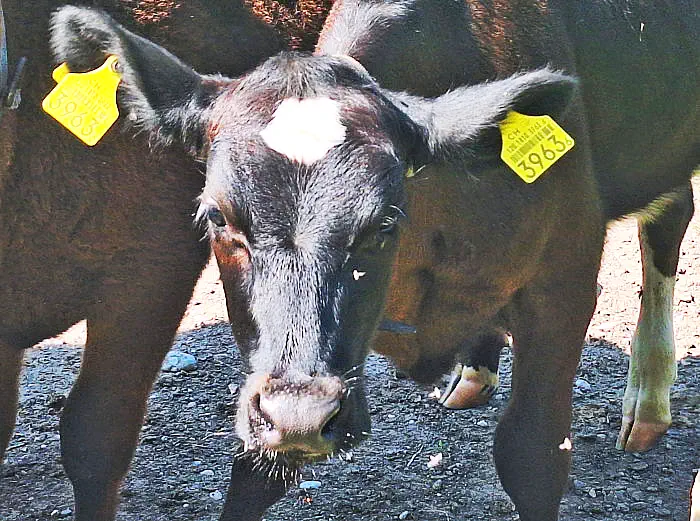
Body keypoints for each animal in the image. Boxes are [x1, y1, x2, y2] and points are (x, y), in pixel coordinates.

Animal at [26, 2, 700, 521]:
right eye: (217, 217)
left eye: (384, 223)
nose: (302, 416)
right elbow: (256, 473)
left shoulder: (565, 277)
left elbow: (534, 456)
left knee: (671, 217)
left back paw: (649, 399)